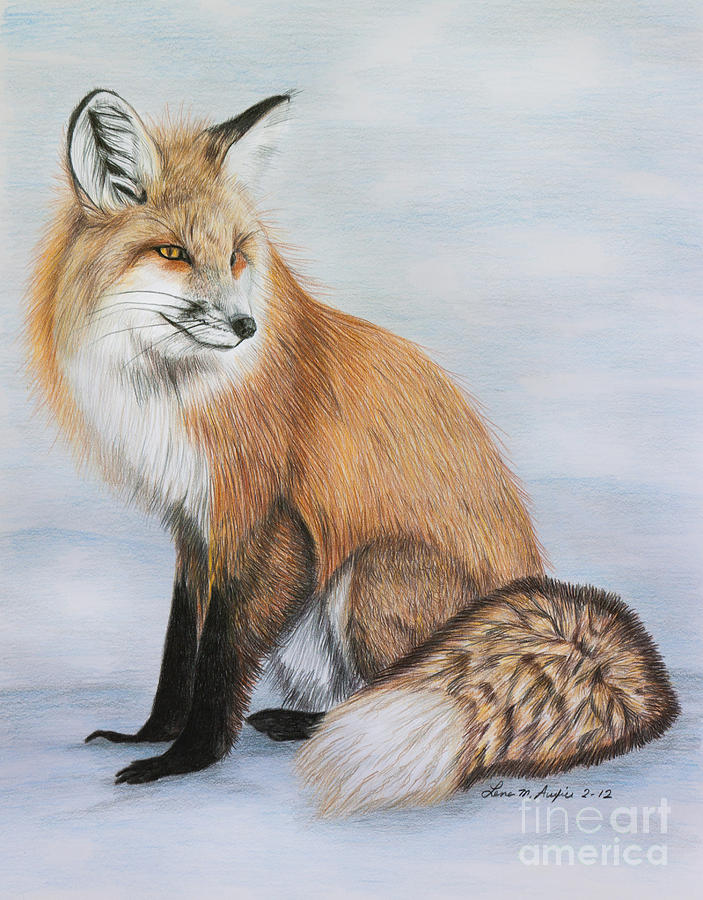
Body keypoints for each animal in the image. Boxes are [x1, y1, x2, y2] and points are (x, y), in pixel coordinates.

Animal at [27, 88, 678, 816]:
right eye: (172, 251)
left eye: (237, 255)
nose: (245, 325)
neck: (176, 395)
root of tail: (531, 596)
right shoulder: (194, 527)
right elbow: (178, 653)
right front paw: (150, 734)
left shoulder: (268, 522)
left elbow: (218, 660)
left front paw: (185, 760)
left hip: (371, 573)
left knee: (388, 686)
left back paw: (312, 724)